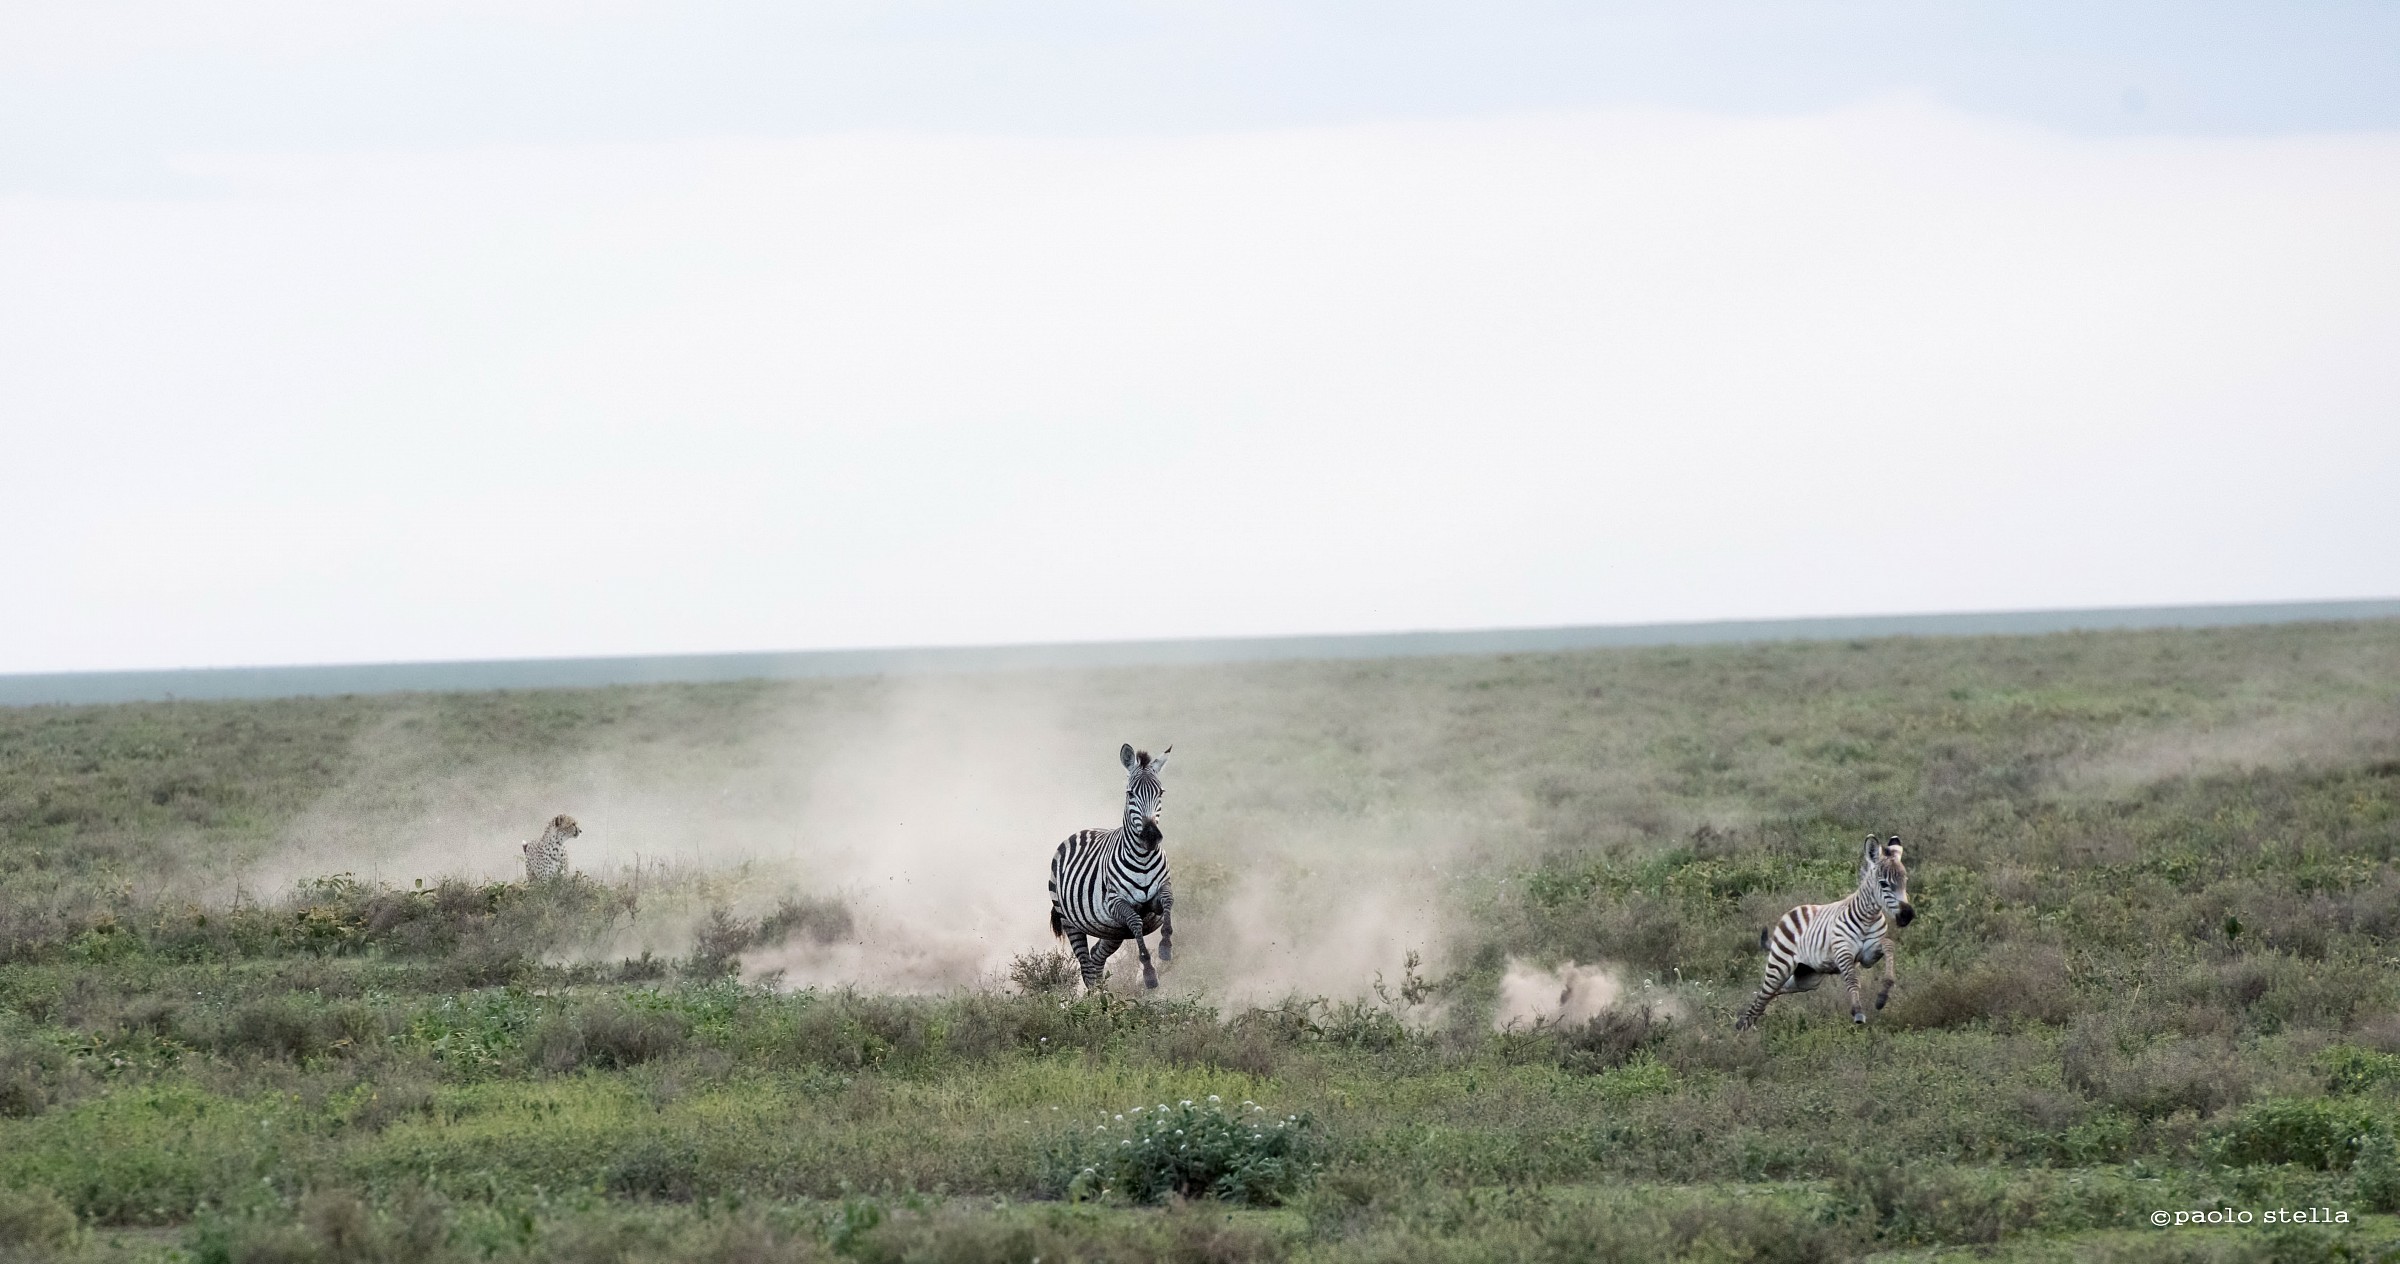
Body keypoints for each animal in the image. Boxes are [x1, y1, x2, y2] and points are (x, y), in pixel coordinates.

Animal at [1048, 744, 1175, 992]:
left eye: (1161, 792)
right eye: (1130, 794)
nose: (1150, 837)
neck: (1143, 857)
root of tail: (1084, 830)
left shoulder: (1160, 893)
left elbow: (1167, 902)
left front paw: (1165, 947)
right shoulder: (1116, 902)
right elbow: (1135, 921)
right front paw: (1149, 974)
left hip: (1112, 930)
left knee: (1096, 958)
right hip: (1070, 921)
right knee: (1087, 966)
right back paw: (1097, 1001)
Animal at [1734, 834, 1914, 1030]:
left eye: (1905, 880)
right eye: (1883, 884)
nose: (1907, 915)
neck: (1867, 918)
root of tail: (1792, 911)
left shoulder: (1868, 955)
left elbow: (1889, 945)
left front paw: (1882, 996)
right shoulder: (1843, 952)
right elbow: (1852, 980)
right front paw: (1858, 1013)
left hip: (1807, 976)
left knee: (1776, 990)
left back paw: (1745, 1023)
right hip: (1780, 964)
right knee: (1766, 992)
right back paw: (1744, 1026)